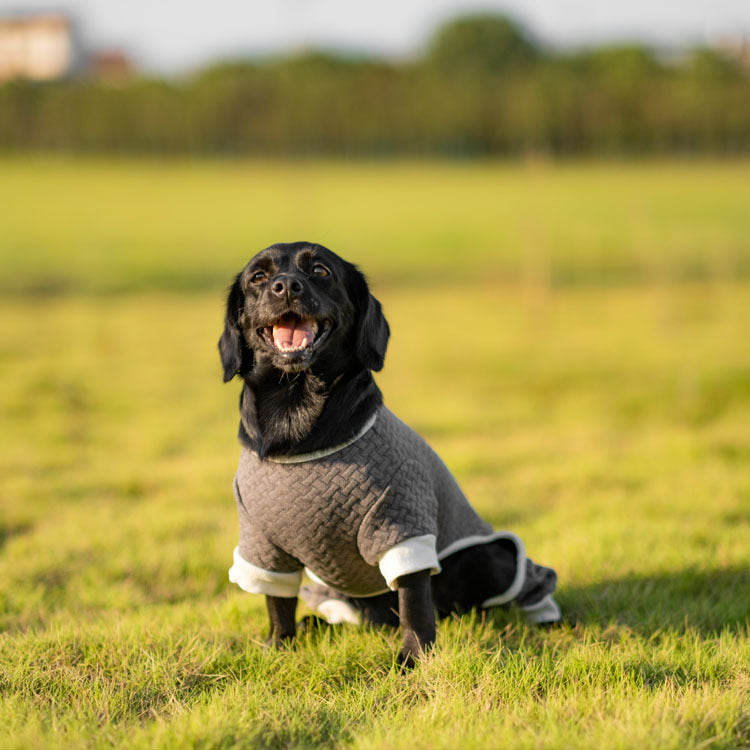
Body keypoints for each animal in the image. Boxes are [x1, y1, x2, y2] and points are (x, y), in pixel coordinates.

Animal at [217, 244, 560, 668]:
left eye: (320, 270)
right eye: (259, 277)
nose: (286, 286)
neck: (297, 423)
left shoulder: (400, 523)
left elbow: (414, 603)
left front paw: (414, 659)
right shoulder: (261, 544)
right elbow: (277, 603)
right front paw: (280, 647)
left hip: (492, 559)